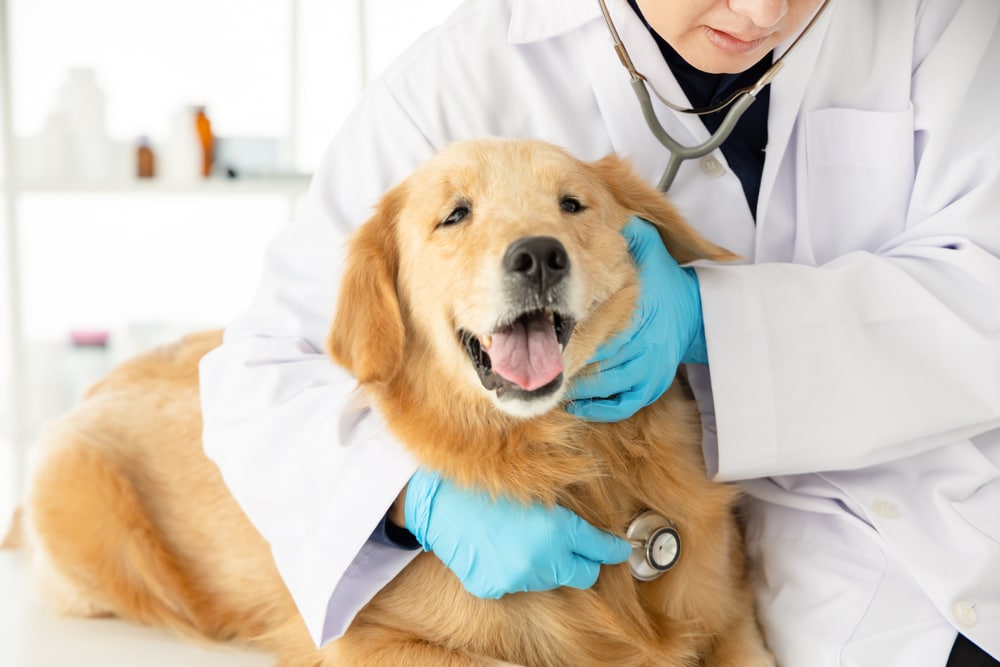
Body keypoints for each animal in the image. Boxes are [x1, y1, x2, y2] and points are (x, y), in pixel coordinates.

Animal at [19, 138, 776, 664]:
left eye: (571, 204)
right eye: (455, 215)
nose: (538, 255)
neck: (572, 458)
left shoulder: (731, 617)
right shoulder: (364, 642)